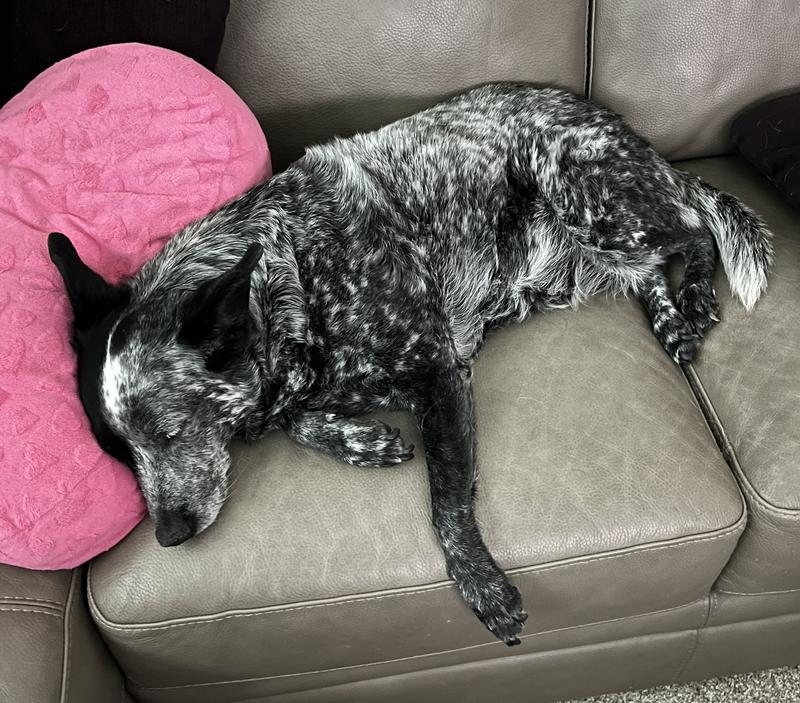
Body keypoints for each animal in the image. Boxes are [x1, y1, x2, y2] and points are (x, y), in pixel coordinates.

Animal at [48, 83, 773, 645]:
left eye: (170, 433)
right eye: (119, 454)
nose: (169, 535)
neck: (295, 274)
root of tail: (636, 138)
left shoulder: (439, 372)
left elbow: (446, 501)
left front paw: (483, 584)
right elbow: (301, 422)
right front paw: (362, 441)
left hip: (586, 196)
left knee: (693, 229)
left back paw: (695, 297)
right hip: (595, 249)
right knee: (650, 267)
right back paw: (672, 323)